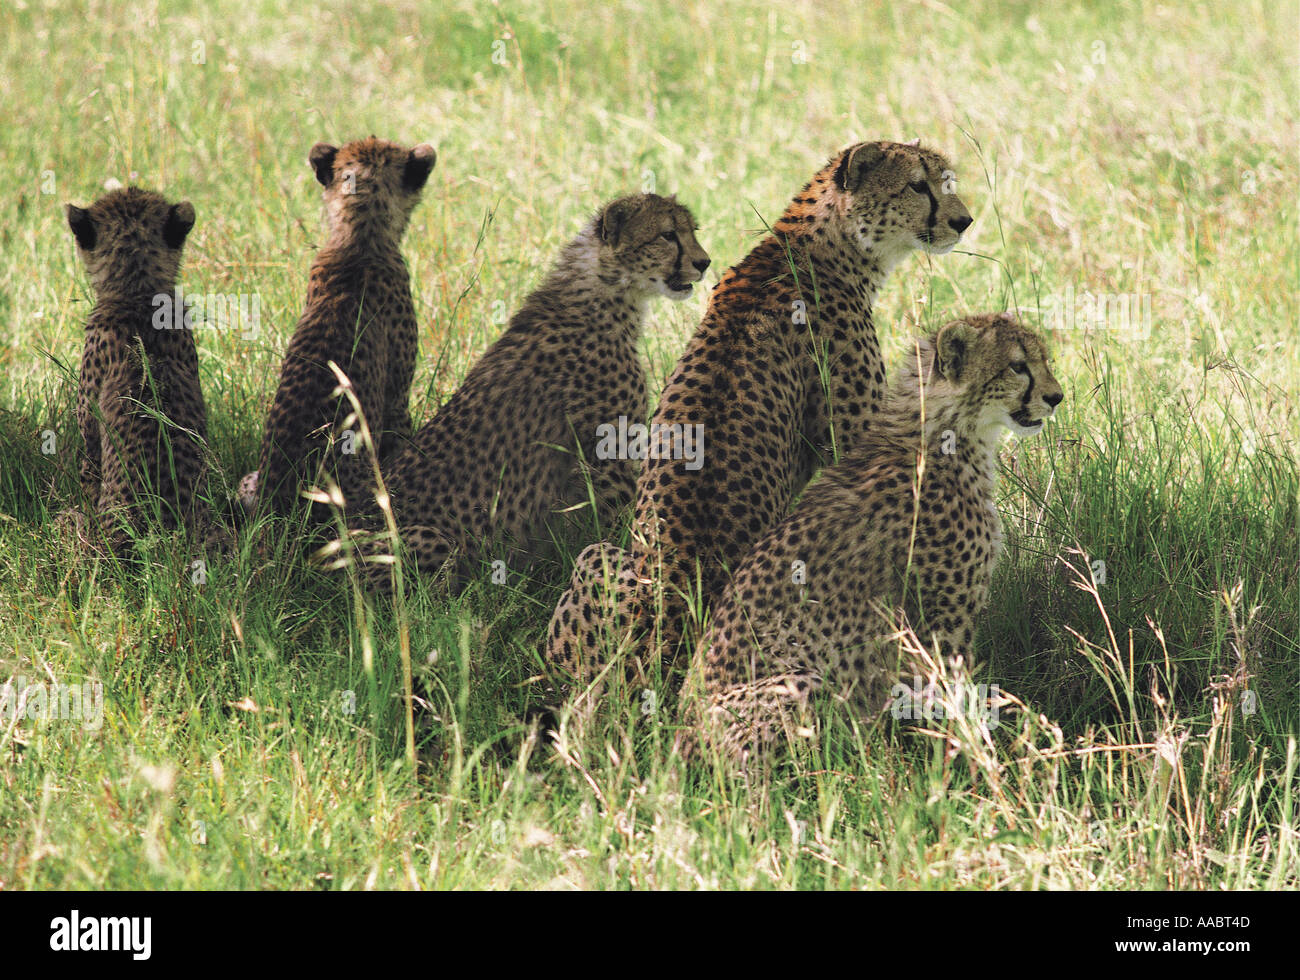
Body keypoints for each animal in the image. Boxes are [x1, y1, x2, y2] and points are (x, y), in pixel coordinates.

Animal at [341, 193, 710, 592]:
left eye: (691, 231)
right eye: (667, 235)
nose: (704, 262)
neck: (606, 292)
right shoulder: (608, 458)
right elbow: (623, 524)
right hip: (430, 541)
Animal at [545, 140, 974, 690]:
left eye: (945, 183)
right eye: (918, 186)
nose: (963, 220)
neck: (815, 240)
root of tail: (657, 639)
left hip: (594, 561)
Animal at [682, 312, 1063, 764]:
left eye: (1042, 359)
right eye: (1017, 366)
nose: (1057, 397)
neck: (944, 434)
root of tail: (679, 737)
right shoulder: (943, 624)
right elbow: (955, 705)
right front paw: (973, 761)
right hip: (800, 679)